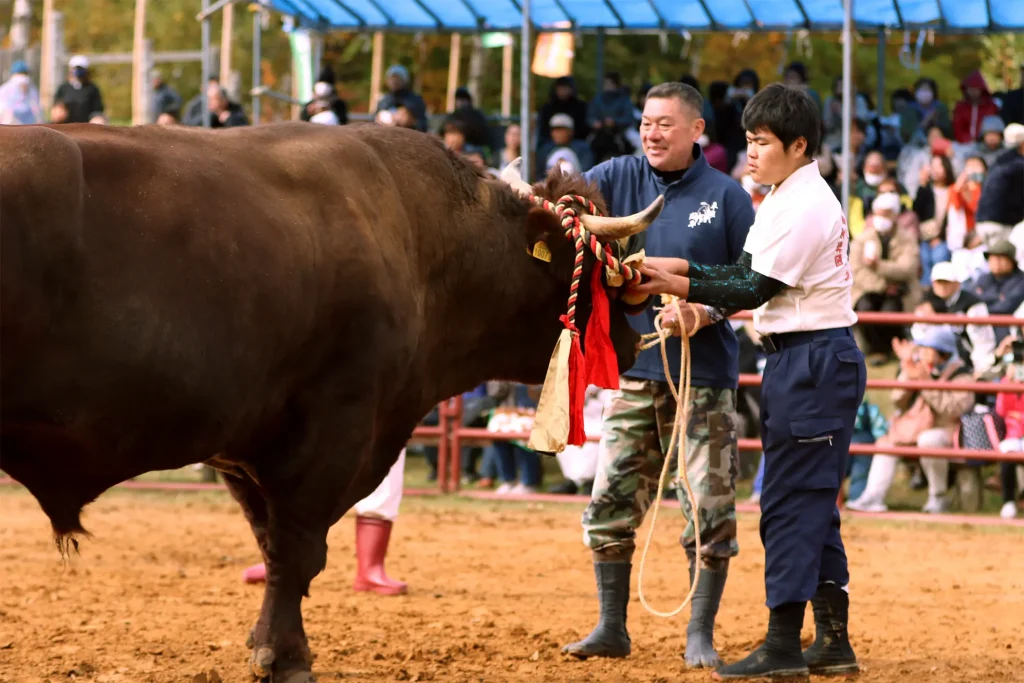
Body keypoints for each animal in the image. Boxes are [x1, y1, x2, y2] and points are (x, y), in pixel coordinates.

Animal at [0, 122, 659, 683]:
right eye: (590, 275)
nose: (634, 339)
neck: (422, 239)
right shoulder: (335, 424)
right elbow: (297, 546)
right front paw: (284, 656)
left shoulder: (249, 442)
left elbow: (272, 544)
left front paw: (267, 642)